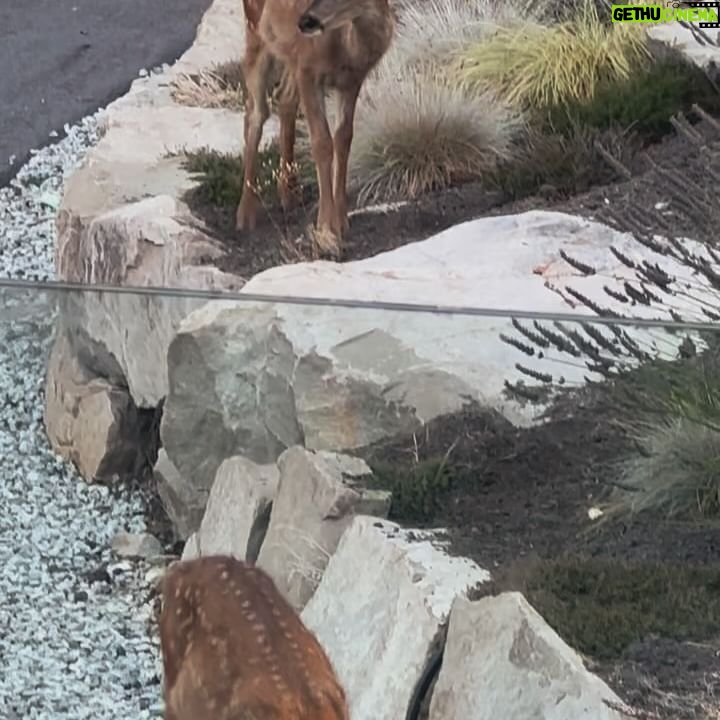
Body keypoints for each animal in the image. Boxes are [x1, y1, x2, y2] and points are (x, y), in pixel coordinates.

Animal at [235, 0, 394, 248]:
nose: (305, 21)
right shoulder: (308, 71)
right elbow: (322, 143)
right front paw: (326, 228)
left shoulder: (351, 81)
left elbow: (344, 140)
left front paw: (341, 220)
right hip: (255, 31)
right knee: (255, 113)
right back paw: (246, 212)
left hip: (289, 57)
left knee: (284, 97)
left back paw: (289, 191)